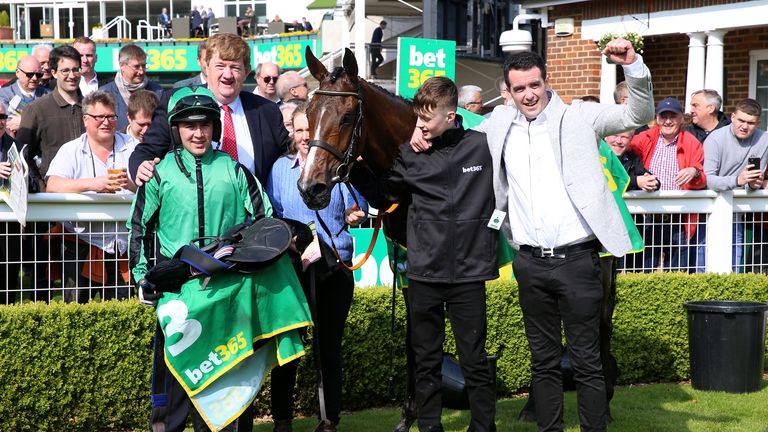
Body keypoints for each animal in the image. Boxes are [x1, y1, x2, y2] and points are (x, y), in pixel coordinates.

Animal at [300, 45, 420, 430]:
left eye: (348, 116)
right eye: (309, 112)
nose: (310, 187)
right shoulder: (406, 263)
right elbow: (415, 338)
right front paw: (409, 414)